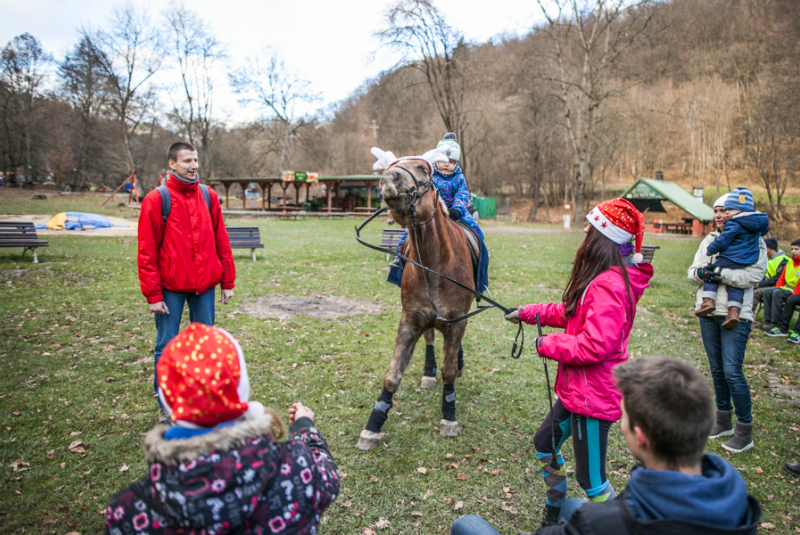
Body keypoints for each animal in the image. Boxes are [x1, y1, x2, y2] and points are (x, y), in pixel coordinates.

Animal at [354, 157, 478, 450]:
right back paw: (428, 372)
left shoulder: (457, 321)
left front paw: (449, 418)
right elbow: (392, 374)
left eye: (422, 168)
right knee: (431, 338)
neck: (435, 265)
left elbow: (449, 371)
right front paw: (373, 426)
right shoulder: (410, 320)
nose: (389, 178)